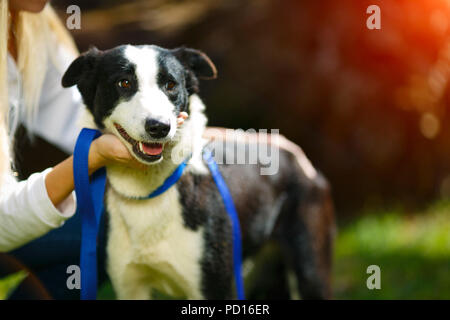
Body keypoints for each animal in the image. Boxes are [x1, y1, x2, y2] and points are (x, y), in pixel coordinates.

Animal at [61, 45, 336, 300]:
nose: (159, 127)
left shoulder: (215, 289)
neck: (148, 192)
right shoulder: (131, 287)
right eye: (124, 83)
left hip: (310, 271)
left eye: (171, 85)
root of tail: (297, 156)